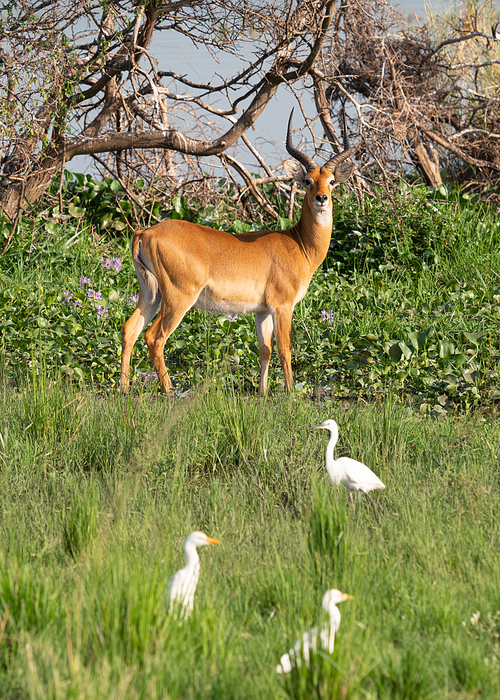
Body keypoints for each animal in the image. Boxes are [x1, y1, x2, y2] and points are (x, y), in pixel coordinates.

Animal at [121, 109, 356, 394]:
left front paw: (263, 393)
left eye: (331, 181)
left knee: (130, 329)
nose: (322, 198)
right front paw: (290, 394)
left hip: (151, 293)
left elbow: (265, 349)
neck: (299, 244)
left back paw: (124, 388)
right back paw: (169, 391)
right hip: (178, 298)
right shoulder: (283, 306)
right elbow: (285, 348)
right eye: (308, 181)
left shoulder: (262, 311)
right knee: (155, 337)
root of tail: (145, 233)